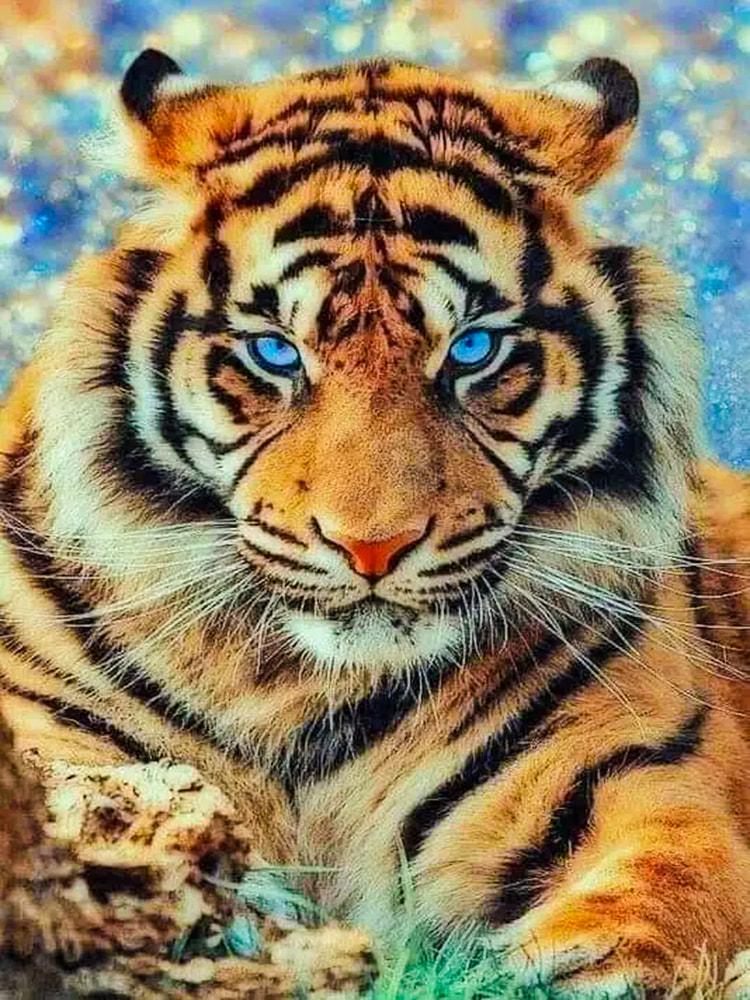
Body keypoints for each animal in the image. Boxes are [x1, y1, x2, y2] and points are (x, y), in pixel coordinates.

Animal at [1, 47, 749, 996]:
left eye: (473, 350)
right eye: (275, 351)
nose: (372, 547)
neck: (297, 691)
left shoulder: (638, 774)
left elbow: (658, 895)